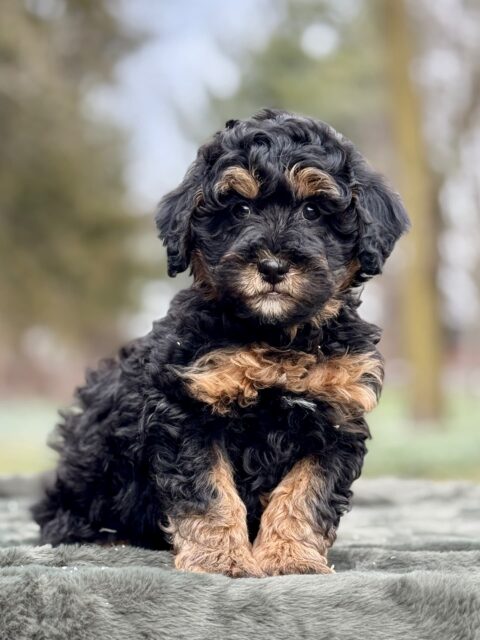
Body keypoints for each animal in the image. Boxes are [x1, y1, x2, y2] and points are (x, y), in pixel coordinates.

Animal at [32, 110, 408, 580]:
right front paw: (221, 561)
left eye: (312, 210)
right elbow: (209, 492)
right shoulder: (188, 410)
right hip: (90, 450)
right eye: (239, 209)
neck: (275, 336)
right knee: (59, 515)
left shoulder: (336, 418)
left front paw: (290, 559)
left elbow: (306, 493)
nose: (272, 266)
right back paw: (104, 537)